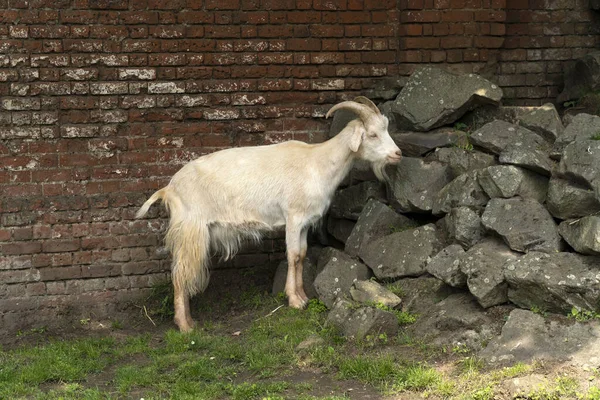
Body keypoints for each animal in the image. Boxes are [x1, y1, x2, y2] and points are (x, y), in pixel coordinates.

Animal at [135, 97, 398, 332]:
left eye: (385, 129)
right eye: (372, 134)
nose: (397, 154)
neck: (318, 163)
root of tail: (169, 188)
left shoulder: (304, 222)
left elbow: (302, 255)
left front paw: (302, 295)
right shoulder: (293, 217)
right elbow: (292, 255)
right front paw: (294, 300)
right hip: (191, 230)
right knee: (181, 272)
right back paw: (185, 325)